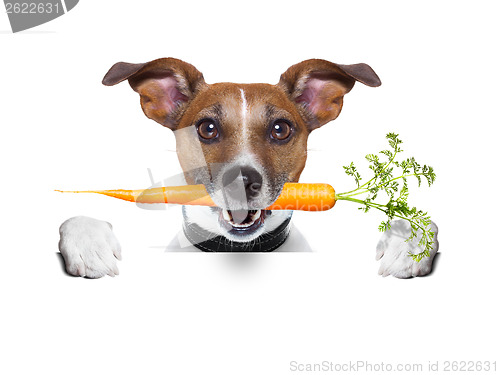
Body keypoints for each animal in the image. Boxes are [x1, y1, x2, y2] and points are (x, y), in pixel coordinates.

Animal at [58, 56, 436, 280]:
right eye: (207, 128)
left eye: (280, 129)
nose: (242, 181)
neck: (239, 251)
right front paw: (89, 244)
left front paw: (407, 247)